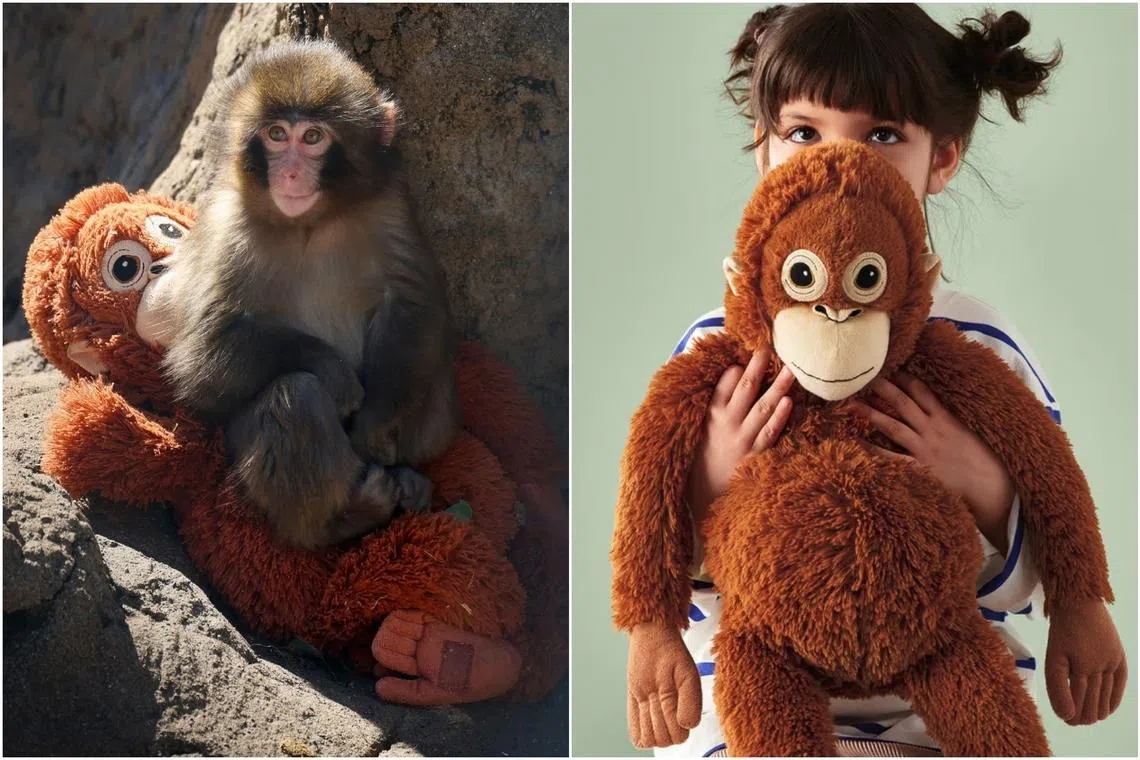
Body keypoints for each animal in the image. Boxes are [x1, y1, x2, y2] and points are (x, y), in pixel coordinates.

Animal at [158, 40, 459, 550]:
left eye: (313, 137)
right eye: (278, 135)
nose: (293, 173)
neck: (309, 224)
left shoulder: (390, 204)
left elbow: (411, 303)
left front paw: (375, 424)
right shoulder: (227, 226)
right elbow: (203, 357)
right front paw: (333, 372)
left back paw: (407, 477)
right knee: (295, 396)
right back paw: (344, 518)